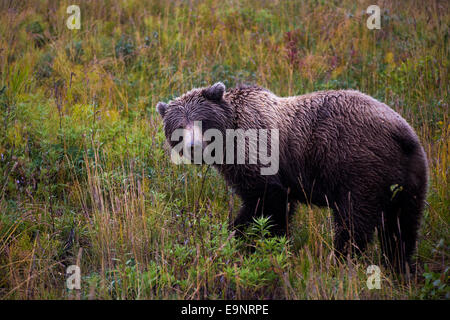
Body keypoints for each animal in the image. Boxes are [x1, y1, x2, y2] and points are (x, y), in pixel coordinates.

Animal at [156, 83, 428, 272]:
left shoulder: (259, 152)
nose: (193, 147)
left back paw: (339, 259)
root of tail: (401, 131)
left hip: (358, 166)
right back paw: (400, 267)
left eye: (201, 121)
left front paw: (245, 238)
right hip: (407, 175)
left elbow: (266, 202)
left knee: (353, 221)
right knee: (401, 226)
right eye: (178, 128)